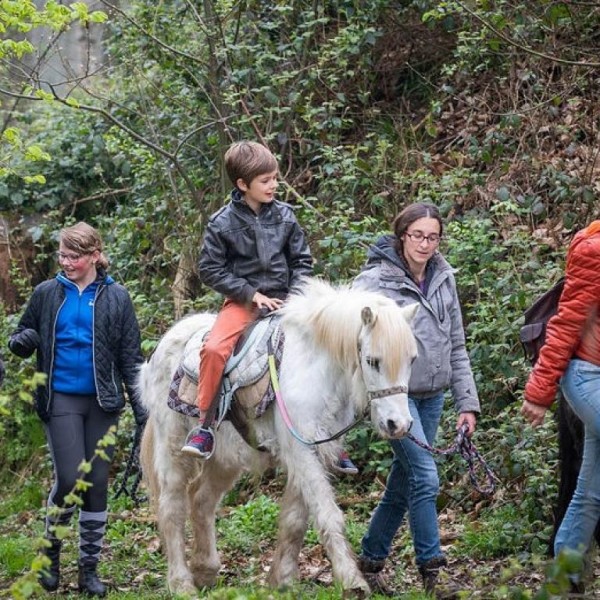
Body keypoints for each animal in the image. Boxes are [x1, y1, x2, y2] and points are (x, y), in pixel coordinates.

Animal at [138, 278, 419, 596]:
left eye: (412, 359)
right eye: (372, 361)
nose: (399, 424)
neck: (315, 370)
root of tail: (159, 349)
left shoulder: (313, 451)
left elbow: (295, 520)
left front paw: (282, 580)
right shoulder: (300, 451)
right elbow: (327, 514)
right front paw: (352, 581)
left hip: (223, 460)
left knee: (202, 501)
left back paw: (206, 570)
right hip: (173, 449)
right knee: (172, 508)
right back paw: (181, 583)